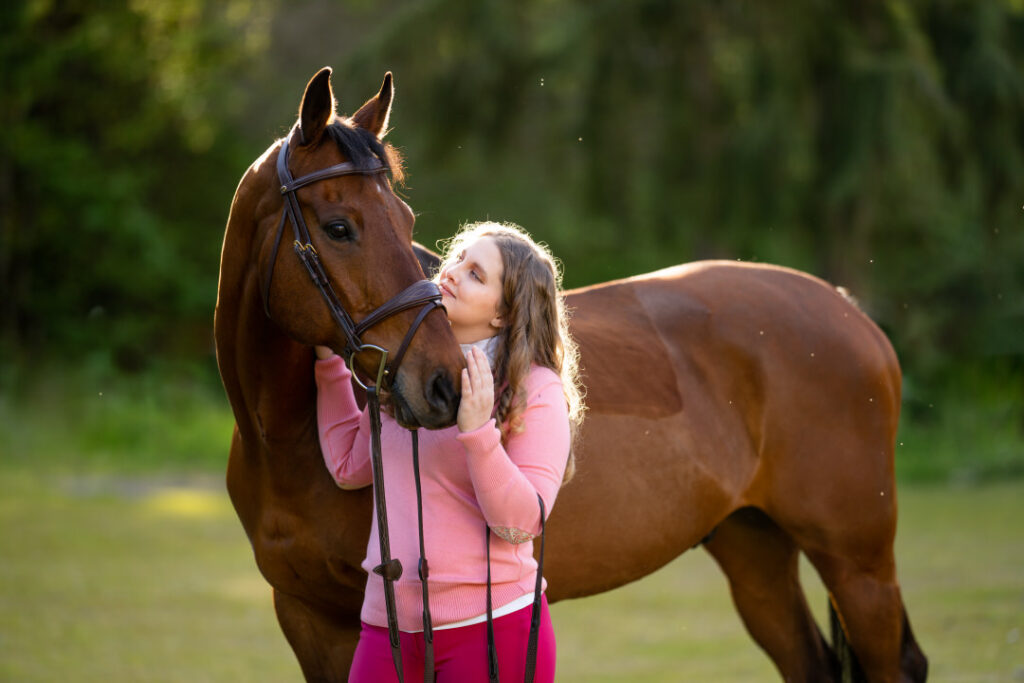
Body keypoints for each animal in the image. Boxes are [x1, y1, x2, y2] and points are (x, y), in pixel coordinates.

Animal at [214, 69, 929, 683]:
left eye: (408, 222)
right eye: (339, 227)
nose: (444, 385)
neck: (284, 444)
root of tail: (851, 313)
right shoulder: (311, 618)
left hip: (858, 564)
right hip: (755, 551)